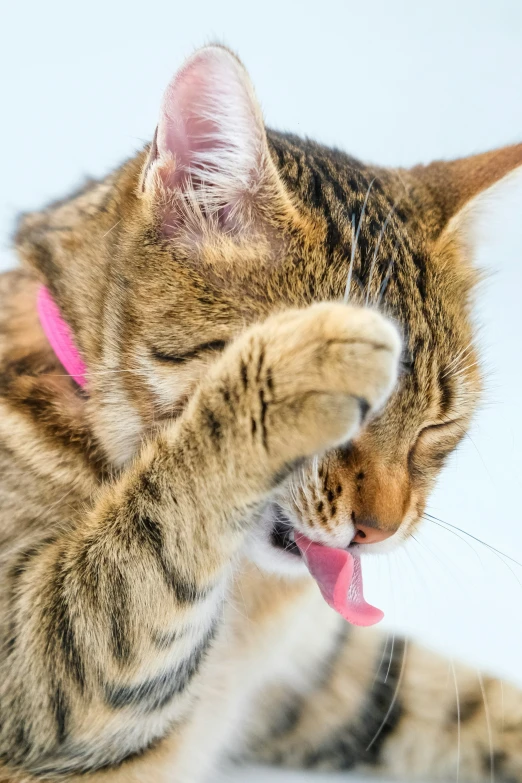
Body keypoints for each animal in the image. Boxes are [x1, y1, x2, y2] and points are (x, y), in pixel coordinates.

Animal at [0, 44, 516, 783]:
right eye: (354, 411)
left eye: (436, 428)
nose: (383, 530)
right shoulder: (35, 661)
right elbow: (155, 532)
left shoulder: (340, 682)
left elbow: (477, 703)